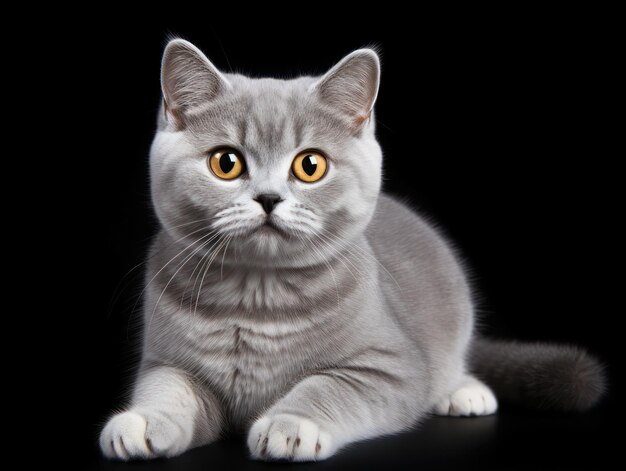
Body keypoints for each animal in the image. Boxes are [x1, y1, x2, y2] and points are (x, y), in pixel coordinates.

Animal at [100, 38, 604, 462]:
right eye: (226, 163)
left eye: (310, 165)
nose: (268, 197)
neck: (256, 297)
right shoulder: (168, 362)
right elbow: (168, 390)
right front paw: (142, 421)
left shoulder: (390, 368)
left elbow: (325, 387)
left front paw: (290, 424)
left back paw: (463, 390)